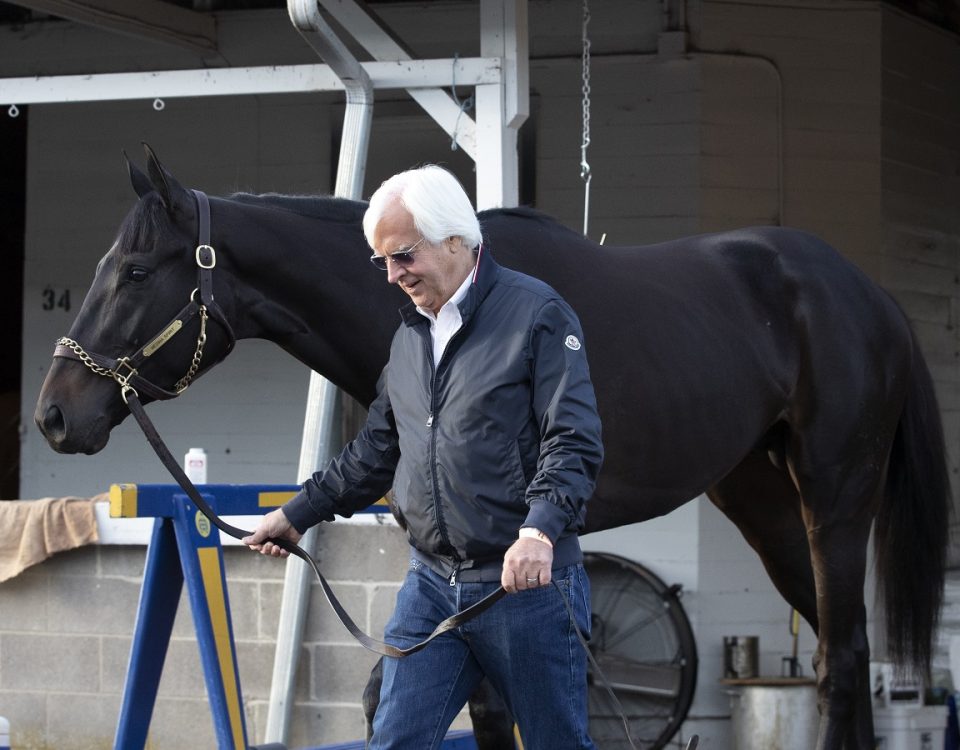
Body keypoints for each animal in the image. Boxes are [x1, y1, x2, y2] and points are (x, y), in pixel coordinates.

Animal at [33, 148, 948, 750]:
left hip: (835, 499)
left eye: (137, 272)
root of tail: (868, 295)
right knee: (842, 652)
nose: (52, 416)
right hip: (764, 506)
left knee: (843, 662)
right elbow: (444, 704)